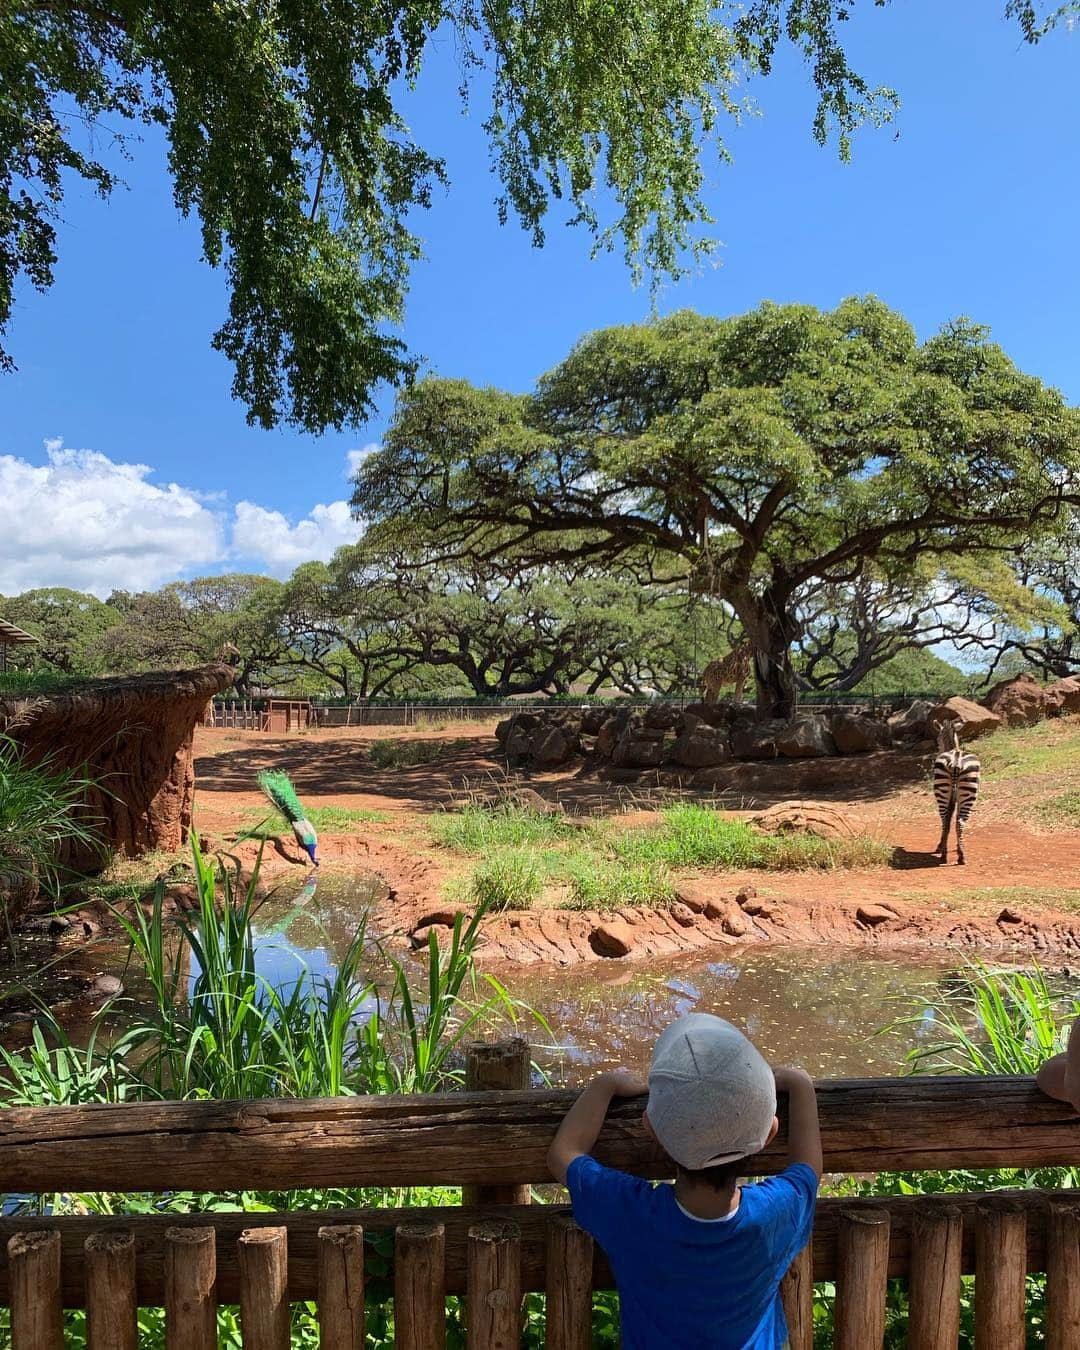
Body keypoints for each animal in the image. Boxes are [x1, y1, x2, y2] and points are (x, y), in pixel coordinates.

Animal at [934, 718, 982, 864]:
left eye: (937, 739)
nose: (938, 750)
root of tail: (955, 761)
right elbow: (953, 820)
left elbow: (951, 820)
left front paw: (942, 845)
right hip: (967, 792)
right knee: (957, 822)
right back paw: (959, 855)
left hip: (948, 792)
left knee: (947, 821)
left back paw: (948, 855)